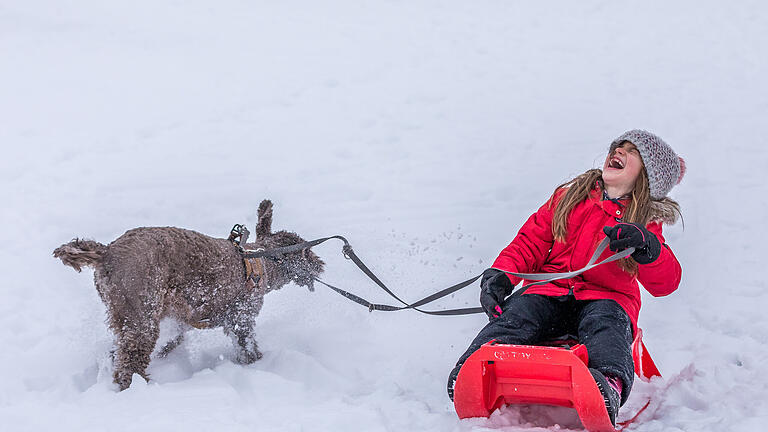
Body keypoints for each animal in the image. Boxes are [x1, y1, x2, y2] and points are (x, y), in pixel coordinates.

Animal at [53, 201, 324, 390]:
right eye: (306, 250)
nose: (321, 264)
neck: (261, 260)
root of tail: (108, 252)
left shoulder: (180, 322)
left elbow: (172, 341)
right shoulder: (242, 319)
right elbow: (247, 347)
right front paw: (258, 365)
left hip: (125, 314)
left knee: (121, 352)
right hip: (143, 318)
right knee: (130, 361)